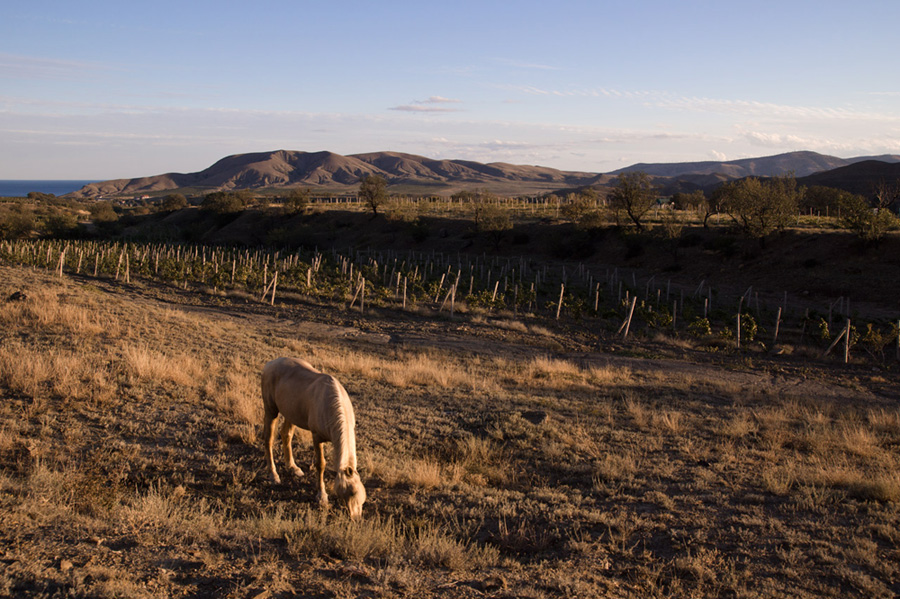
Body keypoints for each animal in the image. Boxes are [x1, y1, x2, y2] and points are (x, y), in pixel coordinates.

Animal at [262, 356, 368, 520]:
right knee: (269, 439)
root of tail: (271, 363)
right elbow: (321, 464)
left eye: (362, 494)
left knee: (286, 435)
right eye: (351, 493)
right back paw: (273, 475)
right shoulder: (317, 437)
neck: (330, 403)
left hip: (291, 414)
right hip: (271, 410)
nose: (356, 518)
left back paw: (293, 468)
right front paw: (321, 496)